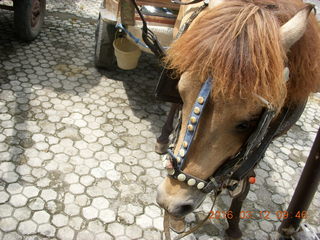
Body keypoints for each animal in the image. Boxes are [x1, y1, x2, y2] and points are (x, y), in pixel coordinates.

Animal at [157, 0, 320, 238]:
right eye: (181, 93)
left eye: (247, 123)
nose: (171, 202)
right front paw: (176, 221)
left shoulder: (261, 142)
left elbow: (244, 181)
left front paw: (233, 225)